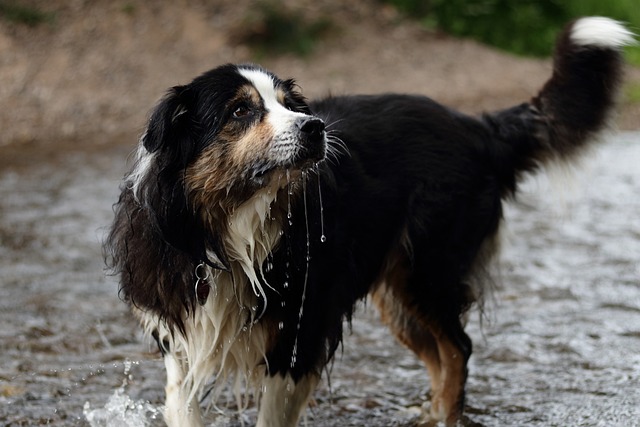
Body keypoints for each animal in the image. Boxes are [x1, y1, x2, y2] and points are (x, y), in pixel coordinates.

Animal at [105, 16, 632, 427]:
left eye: (290, 105)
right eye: (240, 110)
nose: (314, 127)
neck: (231, 228)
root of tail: (477, 126)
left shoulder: (301, 329)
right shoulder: (185, 335)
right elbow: (182, 404)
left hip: (428, 272)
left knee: (458, 349)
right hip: (398, 293)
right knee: (440, 354)